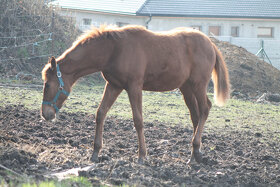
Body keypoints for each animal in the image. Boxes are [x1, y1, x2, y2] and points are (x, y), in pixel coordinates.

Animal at [41, 25, 230, 164]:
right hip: (187, 88)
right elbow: (101, 113)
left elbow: (138, 120)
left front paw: (142, 156)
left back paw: (196, 150)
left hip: (198, 85)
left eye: (48, 84)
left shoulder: (134, 87)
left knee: (205, 109)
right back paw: (194, 155)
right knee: (196, 117)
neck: (114, 50)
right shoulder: (114, 85)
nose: (45, 114)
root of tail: (210, 44)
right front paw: (95, 152)